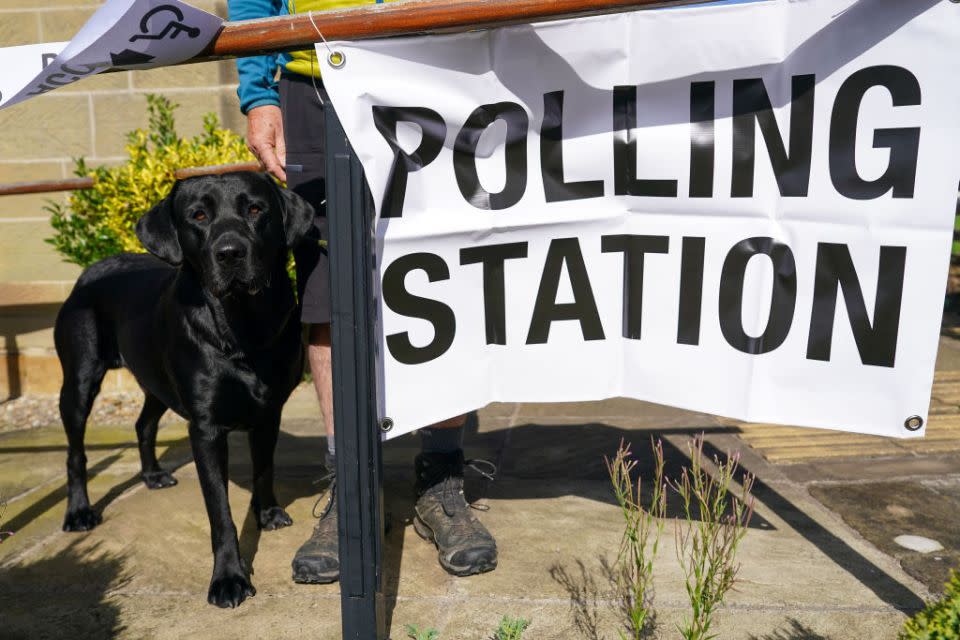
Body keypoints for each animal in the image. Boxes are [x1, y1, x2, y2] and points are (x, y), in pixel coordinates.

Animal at [55, 170, 316, 604]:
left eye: (256, 209)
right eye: (198, 215)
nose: (230, 253)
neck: (243, 325)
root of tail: (90, 270)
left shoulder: (269, 412)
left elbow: (264, 469)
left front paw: (267, 514)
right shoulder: (205, 428)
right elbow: (220, 513)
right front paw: (229, 578)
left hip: (156, 382)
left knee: (143, 424)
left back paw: (152, 475)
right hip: (79, 380)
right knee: (76, 453)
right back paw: (78, 512)